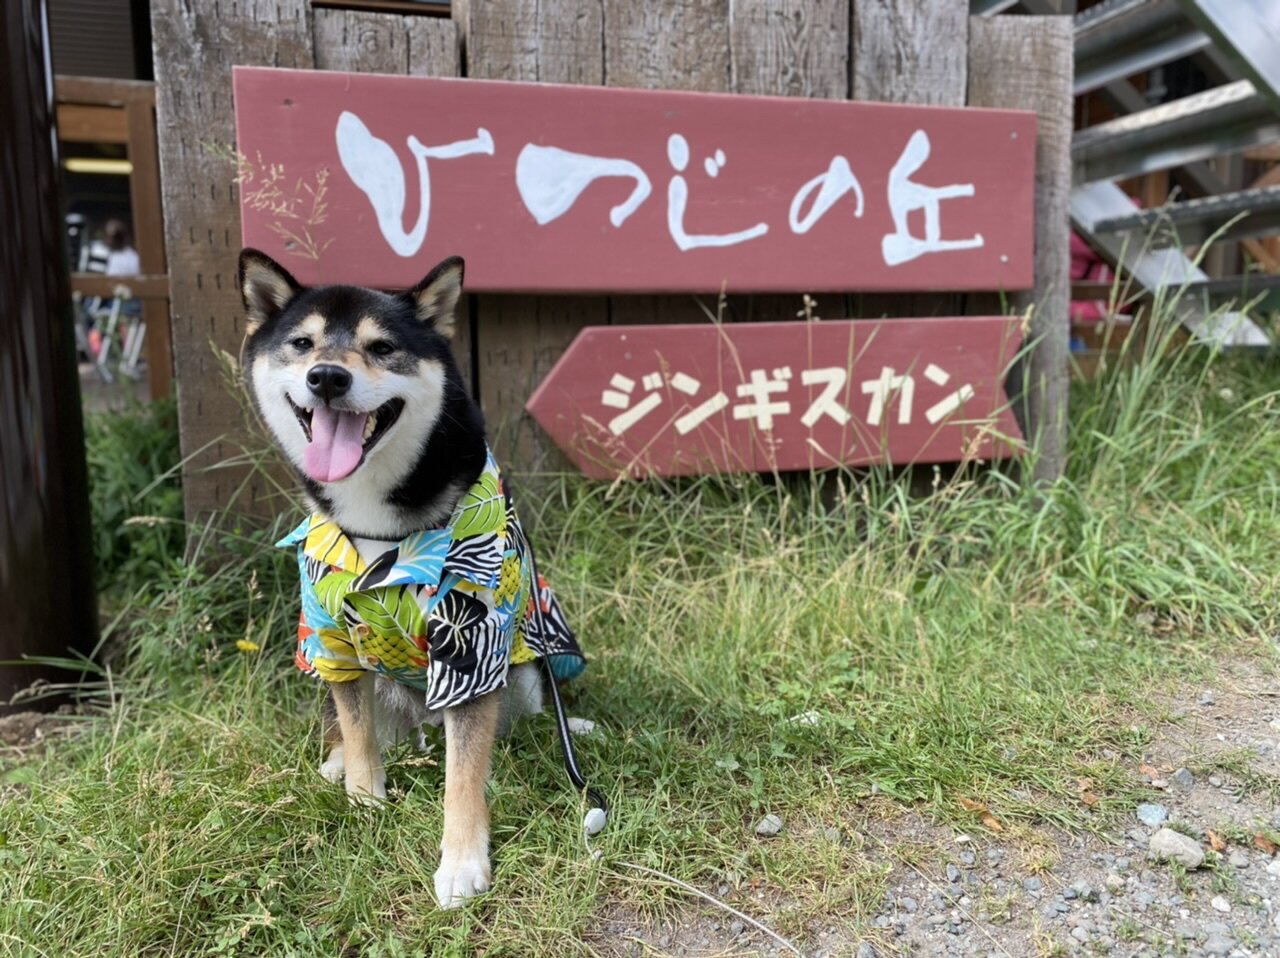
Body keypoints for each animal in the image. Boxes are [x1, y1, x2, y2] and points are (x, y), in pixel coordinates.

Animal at [238, 247, 586, 906]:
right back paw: (338, 762)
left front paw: (462, 863)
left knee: (517, 718)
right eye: (302, 343)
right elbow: (358, 731)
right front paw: (365, 800)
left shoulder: (472, 644)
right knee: (358, 724)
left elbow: (464, 774)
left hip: (527, 673)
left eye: (382, 348)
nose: (327, 377)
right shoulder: (330, 637)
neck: (375, 514)